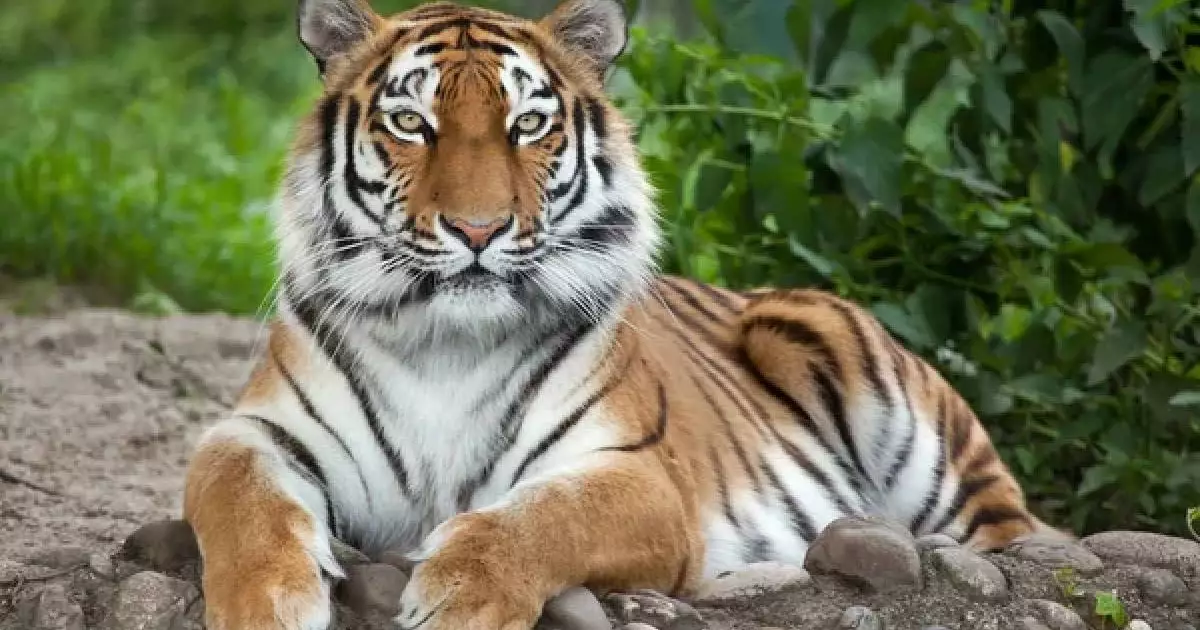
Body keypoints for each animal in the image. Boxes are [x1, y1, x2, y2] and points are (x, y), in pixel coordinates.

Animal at [181, 0, 1063, 628]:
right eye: (410, 123)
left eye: (527, 125)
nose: (477, 230)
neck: (446, 342)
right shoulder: (259, 430)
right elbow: (240, 499)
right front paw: (266, 604)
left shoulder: (637, 475)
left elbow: (545, 516)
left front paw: (460, 593)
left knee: (1015, 533)